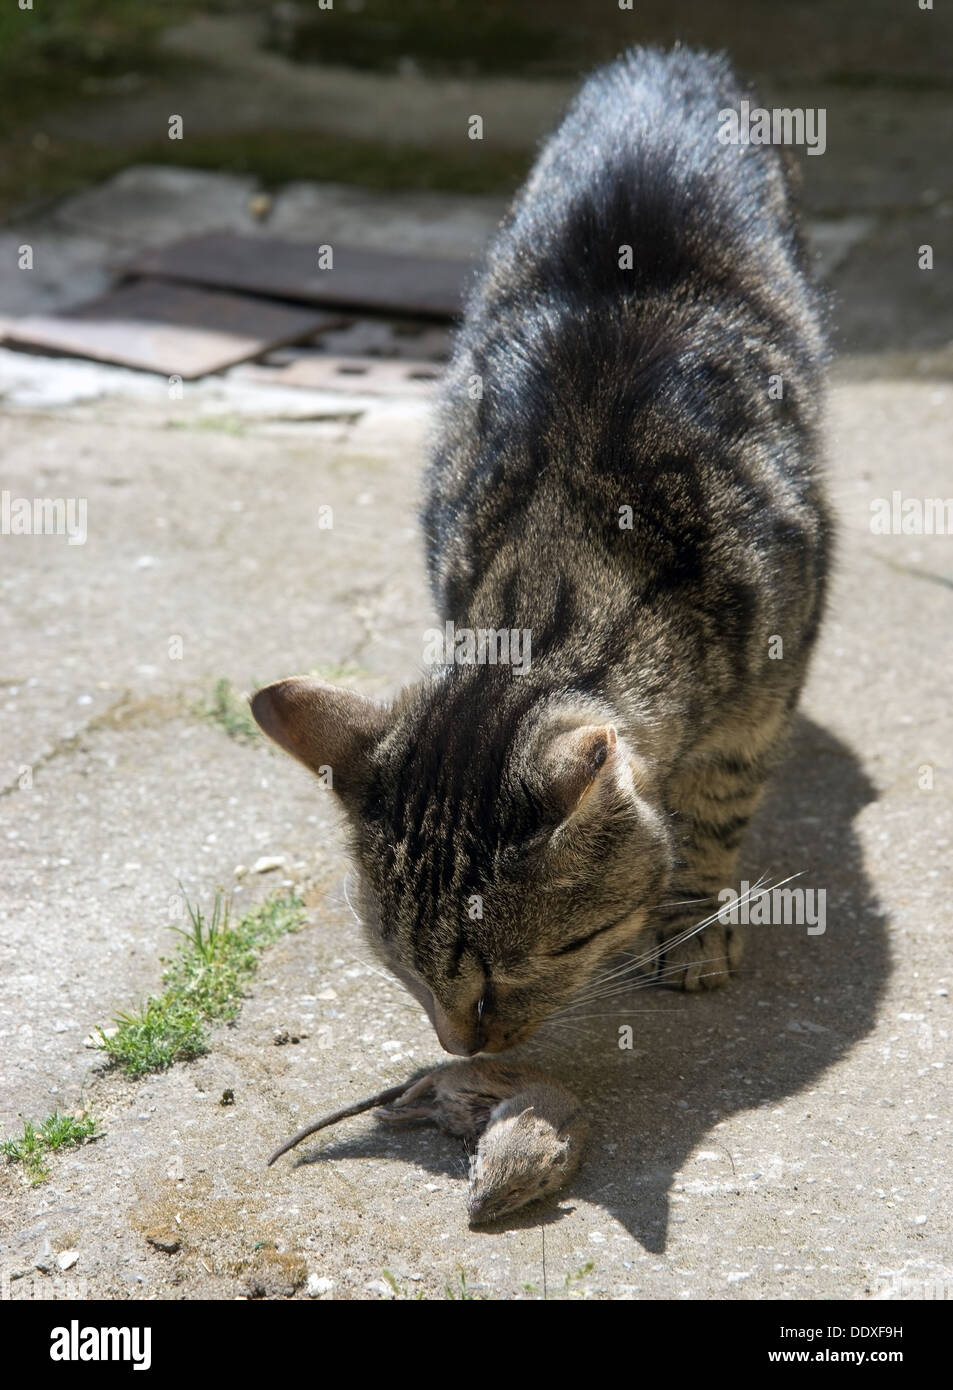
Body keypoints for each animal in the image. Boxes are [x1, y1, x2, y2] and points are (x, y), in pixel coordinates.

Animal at [251, 51, 827, 1050]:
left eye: (517, 968)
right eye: (400, 969)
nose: (460, 1046)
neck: (561, 554)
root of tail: (662, 61)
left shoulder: (763, 692)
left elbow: (715, 814)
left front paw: (695, 927)